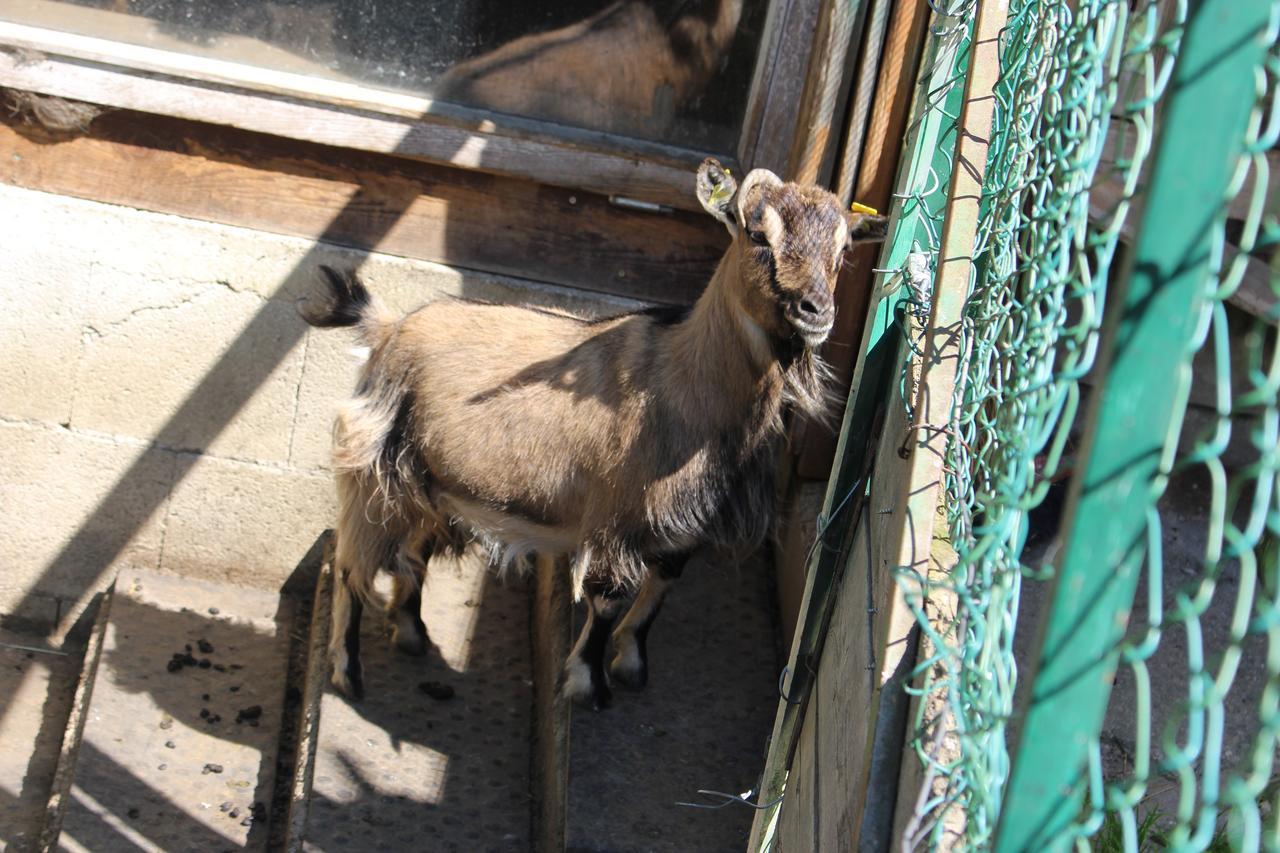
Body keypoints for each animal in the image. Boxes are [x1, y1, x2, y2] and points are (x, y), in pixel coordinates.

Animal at [299, 159, 885, 701]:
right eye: (757, 233)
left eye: (843, 252)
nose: (816, 311)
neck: (685, 378)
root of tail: (387, 329)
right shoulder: (616, 517)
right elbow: (609, 599)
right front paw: (588, 683)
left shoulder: (684, 525)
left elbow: (662, 587)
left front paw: (631, 664)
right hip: (371, 472)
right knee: (351, 566)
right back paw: (347, 672)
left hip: (429, 483)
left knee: (413, 550)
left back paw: (412, 633)